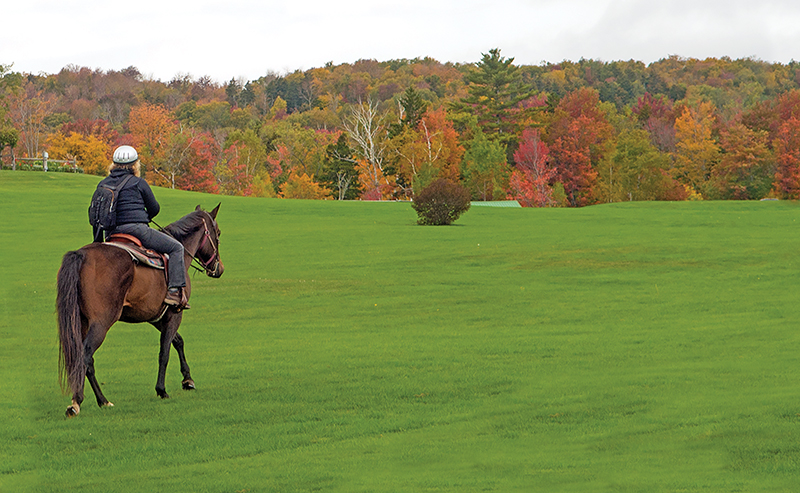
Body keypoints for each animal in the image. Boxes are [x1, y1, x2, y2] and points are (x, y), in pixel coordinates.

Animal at [56, 204, 224, 417]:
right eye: (218, 233)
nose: (219, 269)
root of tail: (82, 255)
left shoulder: (157, 317)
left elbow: (178, 341)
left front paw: (188, 380)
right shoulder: (174, 314)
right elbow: (164, 352)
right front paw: (162, 390)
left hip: (81, 321)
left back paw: (101, 400)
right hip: (101, 322)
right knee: (85, 357)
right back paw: (78, 401)